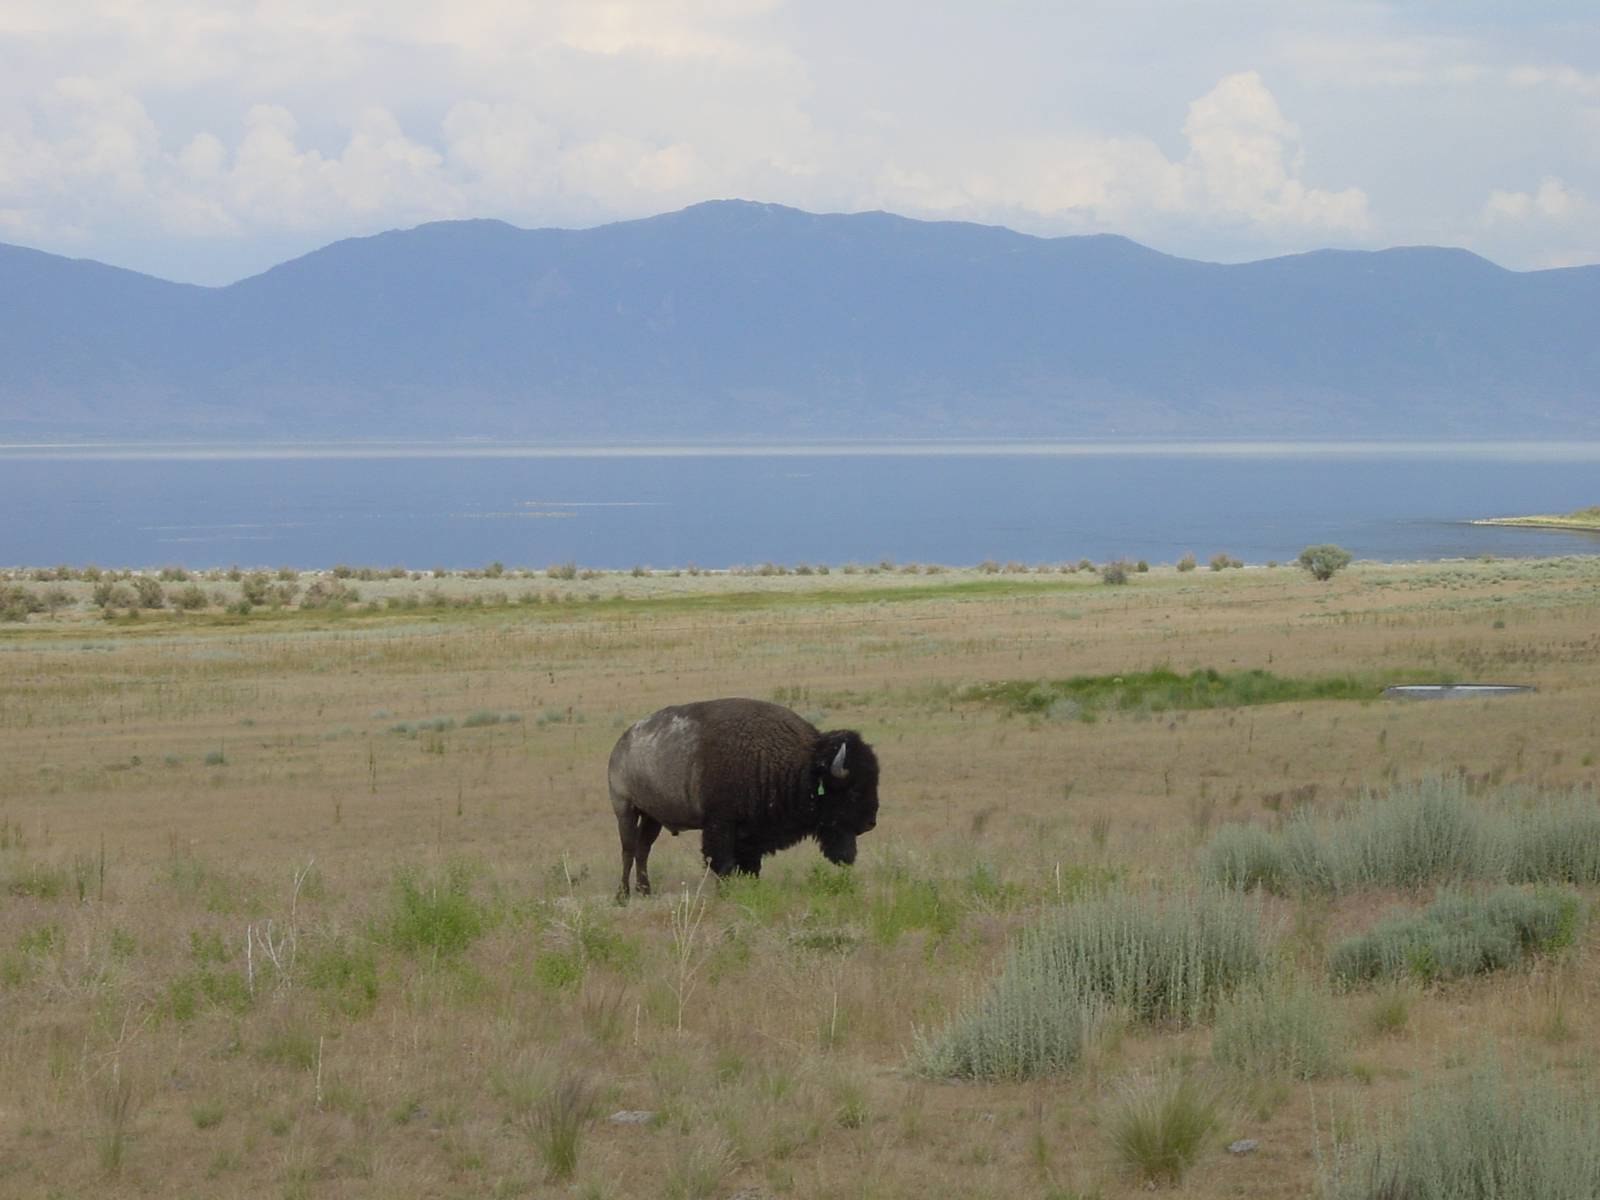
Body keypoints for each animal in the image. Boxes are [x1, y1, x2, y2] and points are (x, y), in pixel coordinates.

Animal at [608, 694, 883, 902]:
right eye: (853, 790)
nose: (870, 823)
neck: (803, 767)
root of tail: (621, 744)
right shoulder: (720, 826)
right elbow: (722, 864)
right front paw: (724, 895)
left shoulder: (753, 835)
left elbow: (751, 867)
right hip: (625, 809)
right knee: (628, 849)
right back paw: (623, 895)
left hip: (652, 817)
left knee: (643, 848)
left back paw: (646, 891)